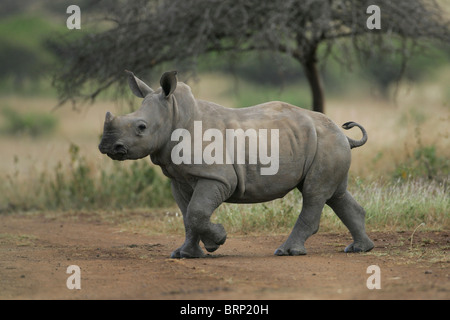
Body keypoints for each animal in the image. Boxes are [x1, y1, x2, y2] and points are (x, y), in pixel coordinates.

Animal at [99, 70, 376, 258]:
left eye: (141, 127)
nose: (107, 146)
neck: (176, 113)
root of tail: (343, 133)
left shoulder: (217, 177)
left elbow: (197, 212)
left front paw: (217, 241)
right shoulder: (178, 179)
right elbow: (187, 216)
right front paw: (186, 254)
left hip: (327, 142)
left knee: (313, 193)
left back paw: (287, 251)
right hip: (326, 143)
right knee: (335, 194)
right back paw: (359, 249)